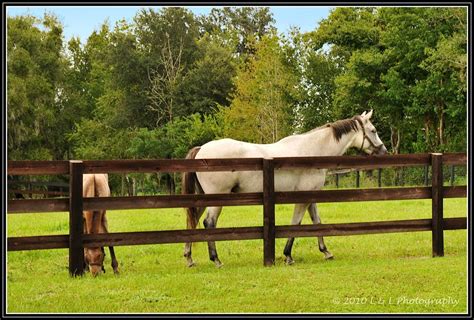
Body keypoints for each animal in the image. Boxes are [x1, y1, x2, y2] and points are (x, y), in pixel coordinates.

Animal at [183, 111, 386, 266]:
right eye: (373, 130)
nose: (383, 151)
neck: (311, 152)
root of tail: (201, 150)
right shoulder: (302, 198)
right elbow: (295, 224)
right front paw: (288, 255)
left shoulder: (311, 197)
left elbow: (317, 222)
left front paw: (326, 251)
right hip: (217, 198)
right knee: (209, 223)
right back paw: (216, 260)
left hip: (203, 198)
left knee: (193, 221)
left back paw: (189, 258)